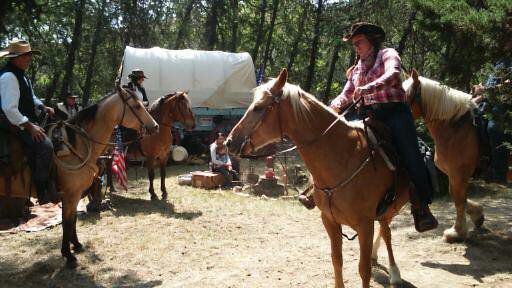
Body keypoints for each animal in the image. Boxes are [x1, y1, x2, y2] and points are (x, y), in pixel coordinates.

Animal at [226, 68, 410, 286]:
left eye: (258, 107)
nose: (229, 142)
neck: (344, 158)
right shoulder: (329, 220)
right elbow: (336, 260)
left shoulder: (365, 225)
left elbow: (363, 270)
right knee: (384, 230)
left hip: (393, 207)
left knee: (387, 232)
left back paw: (394, 272)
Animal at [404, 70, 484, 243]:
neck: (454, 128)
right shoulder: (453, 175)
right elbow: (458, 197)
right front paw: (477, 215)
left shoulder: (458, 174)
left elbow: (459, 200)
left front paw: (457, 232)